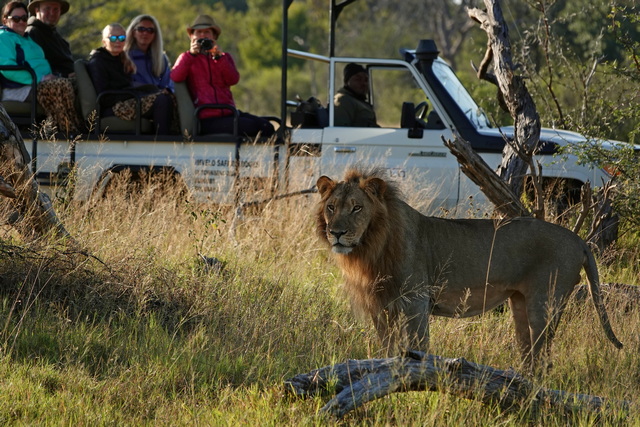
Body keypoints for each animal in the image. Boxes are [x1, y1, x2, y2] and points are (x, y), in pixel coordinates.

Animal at [316, 168, 622, 369]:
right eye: (331, 207)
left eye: (356, 208)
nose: (337, 233)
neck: (371, 247)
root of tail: (579, 240)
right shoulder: (381, 308)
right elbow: (387, 350)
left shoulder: (415, 304)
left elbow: (417, 350)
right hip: (520, 304)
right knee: (529, 355)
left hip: (545, 304)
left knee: (543, 358)